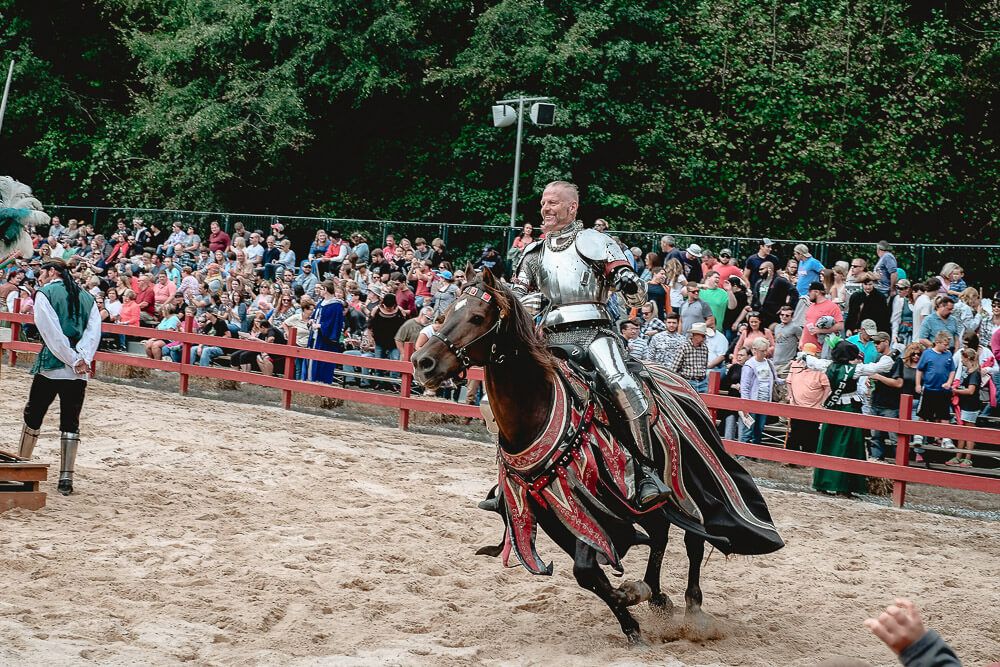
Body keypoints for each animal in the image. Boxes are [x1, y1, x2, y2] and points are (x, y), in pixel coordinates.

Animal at [410, 268, 784, 644]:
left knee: (694, 539)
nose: (422, 363)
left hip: (687, 487)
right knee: (661, 534)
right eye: (445, 314)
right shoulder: (553, 510)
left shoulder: (586, 501)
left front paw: (631, 603)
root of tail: (683, 381)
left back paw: (691, 609)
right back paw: (656, 594)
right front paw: (632, 615)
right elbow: (588, 574)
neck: (537, 407)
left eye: (477, 317)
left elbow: (588, 568)